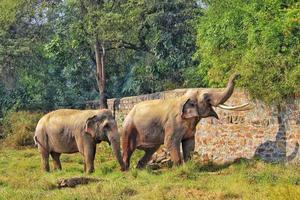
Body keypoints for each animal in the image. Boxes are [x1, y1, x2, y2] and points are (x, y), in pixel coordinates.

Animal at [120, 72, 250, 170]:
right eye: (207, 98)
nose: (239, 74)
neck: (183, 97)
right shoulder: (173, 123)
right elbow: (170, 142)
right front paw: (178, 169)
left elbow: (190, 143)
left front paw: (188, 166)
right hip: (128, 129)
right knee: (127, 150)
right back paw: (126, 171)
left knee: (150, 150)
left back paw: (139, 169)